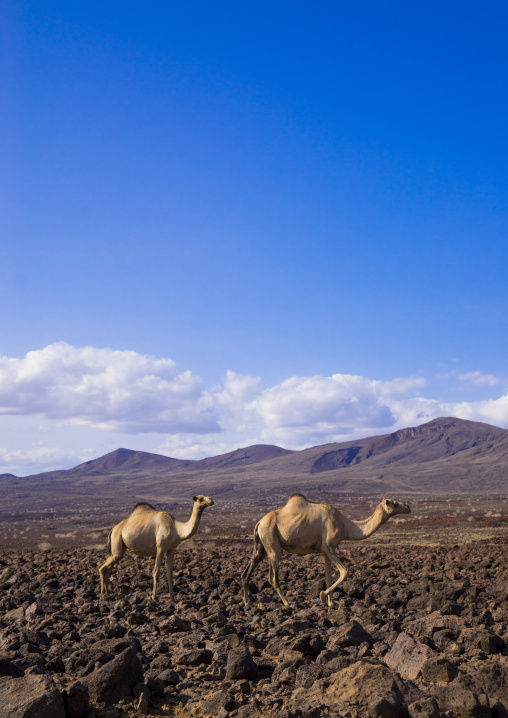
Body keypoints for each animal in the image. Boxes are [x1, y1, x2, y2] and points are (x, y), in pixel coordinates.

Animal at [241, 494, 410, 607]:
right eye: (395, 504)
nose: (408, 507)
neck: (344, 525)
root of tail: (259, 523)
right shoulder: (329, 547)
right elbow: (344, 572)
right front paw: (323, 596)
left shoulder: (325, 551)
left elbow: (328, 577)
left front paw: (330, 603)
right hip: (272, 543)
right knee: (273, 578)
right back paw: (287, 603)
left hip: (262, 546)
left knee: (247, 572)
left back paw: (247, 603)